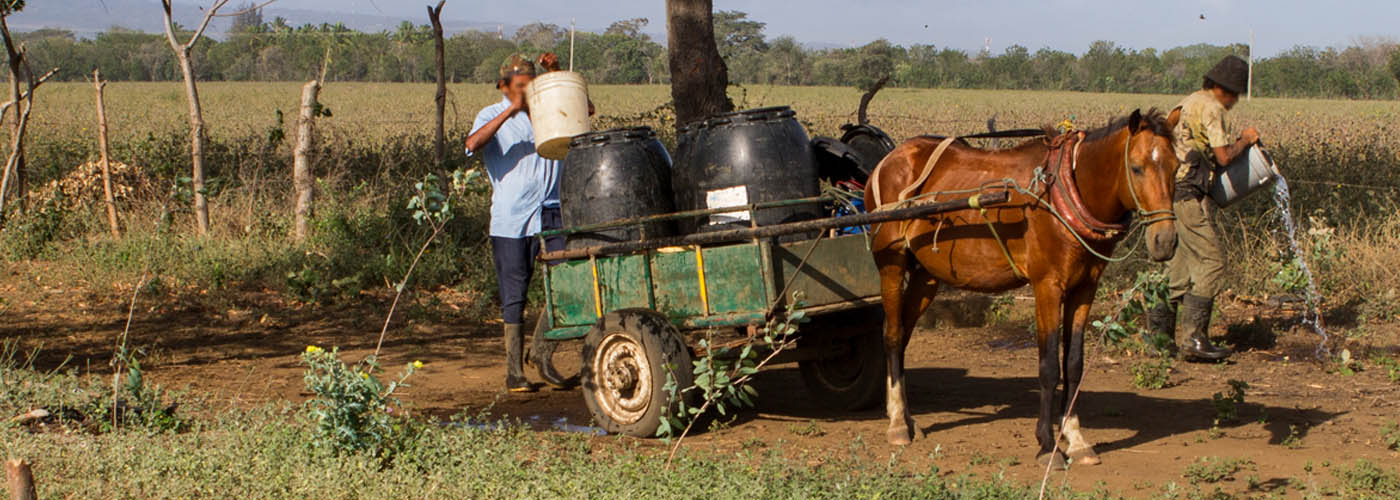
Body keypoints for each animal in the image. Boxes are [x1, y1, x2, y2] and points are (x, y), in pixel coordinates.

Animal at [862, 107, 1181, 464]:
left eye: (1176, 166)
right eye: (1137, 167)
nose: (1165, 240)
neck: (1064, 193)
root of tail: (890, 158)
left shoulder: (1084, 289)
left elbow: (1074, 364)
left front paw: (1076, 439)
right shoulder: (1047, 286)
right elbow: (1049, 367)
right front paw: (1047, 444)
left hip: (926, 275)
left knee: (903, 334)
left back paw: (906, 416)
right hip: (891, 263)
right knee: (891, 336)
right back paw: (896, 424)